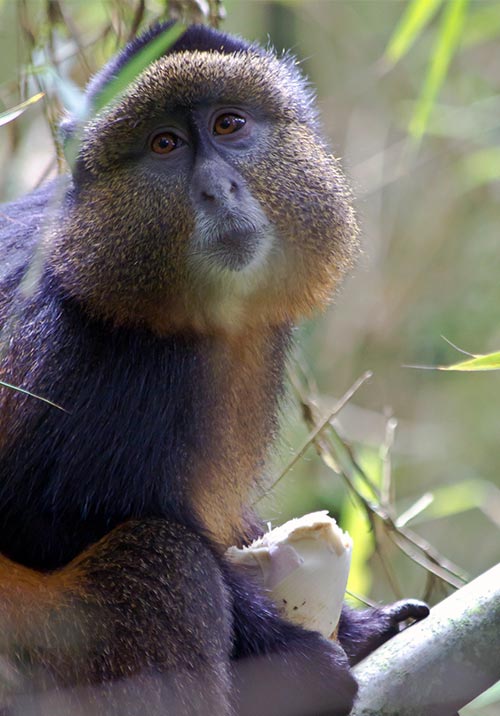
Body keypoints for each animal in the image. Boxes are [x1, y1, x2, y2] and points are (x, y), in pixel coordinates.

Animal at [0, 22, 430, 716]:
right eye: (165, 144)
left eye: (229, 124)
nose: (216, 188)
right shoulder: (64, 351)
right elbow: (39, 524)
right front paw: (293, 661)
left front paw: (357, 629)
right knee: (169, 560)